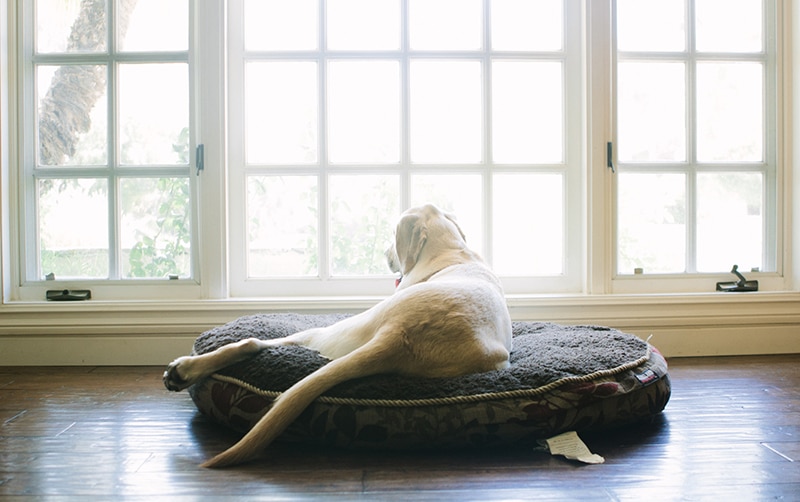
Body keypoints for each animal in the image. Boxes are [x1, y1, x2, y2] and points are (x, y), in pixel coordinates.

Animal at [164, 203, 512, 466]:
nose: (386, 253)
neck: (451, 252)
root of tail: (400, 336)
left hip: (322, 332)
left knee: (253, 344)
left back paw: (184, 369)